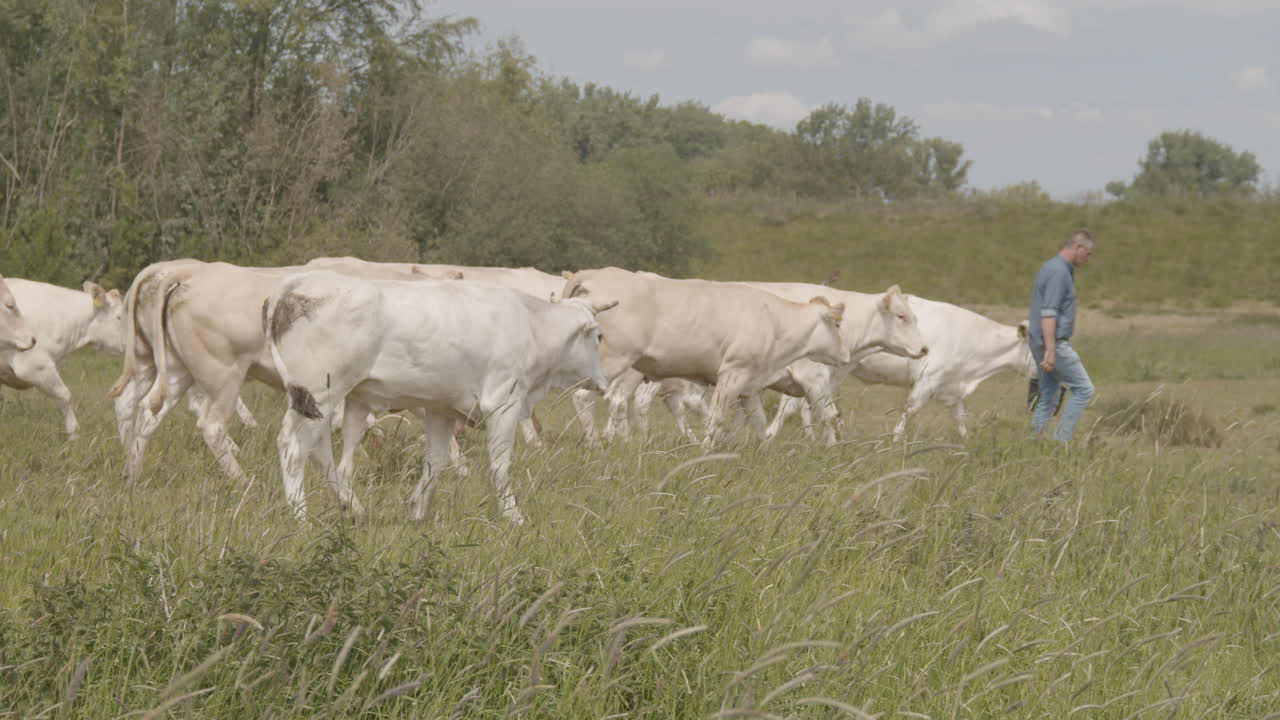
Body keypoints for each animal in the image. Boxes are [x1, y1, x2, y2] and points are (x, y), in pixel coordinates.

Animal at [266, 271, 612, 522]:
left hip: (316, 402)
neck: (531, 325)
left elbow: (435, 462)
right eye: (599, 336)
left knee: (317, 450)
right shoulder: (504, 402)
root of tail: (296, 282)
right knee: (295, 450)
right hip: (319, 393)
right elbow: (500, 464)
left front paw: (417, 512)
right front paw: (514, 516)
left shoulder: (441, 409)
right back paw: (301, 518)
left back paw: (353, 507)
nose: (603, 383)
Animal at [560, 267, 852, 446]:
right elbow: (717, 417)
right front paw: (706, 451)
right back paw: (595, 443)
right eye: (837, 325)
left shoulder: (750, 384)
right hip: (613, 359)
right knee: (584, 397)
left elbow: (758, 421)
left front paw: (765, 452)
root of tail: (597, 274)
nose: (847, 355)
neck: (774, 321)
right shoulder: (732, 375)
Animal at [768, 296, 1035, 441]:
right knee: (792, 406)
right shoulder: (928, 379)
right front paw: (895, 440)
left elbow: (959, 417)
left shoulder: (951, 386)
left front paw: (966, 442)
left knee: (804, 406)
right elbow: (910, 410)